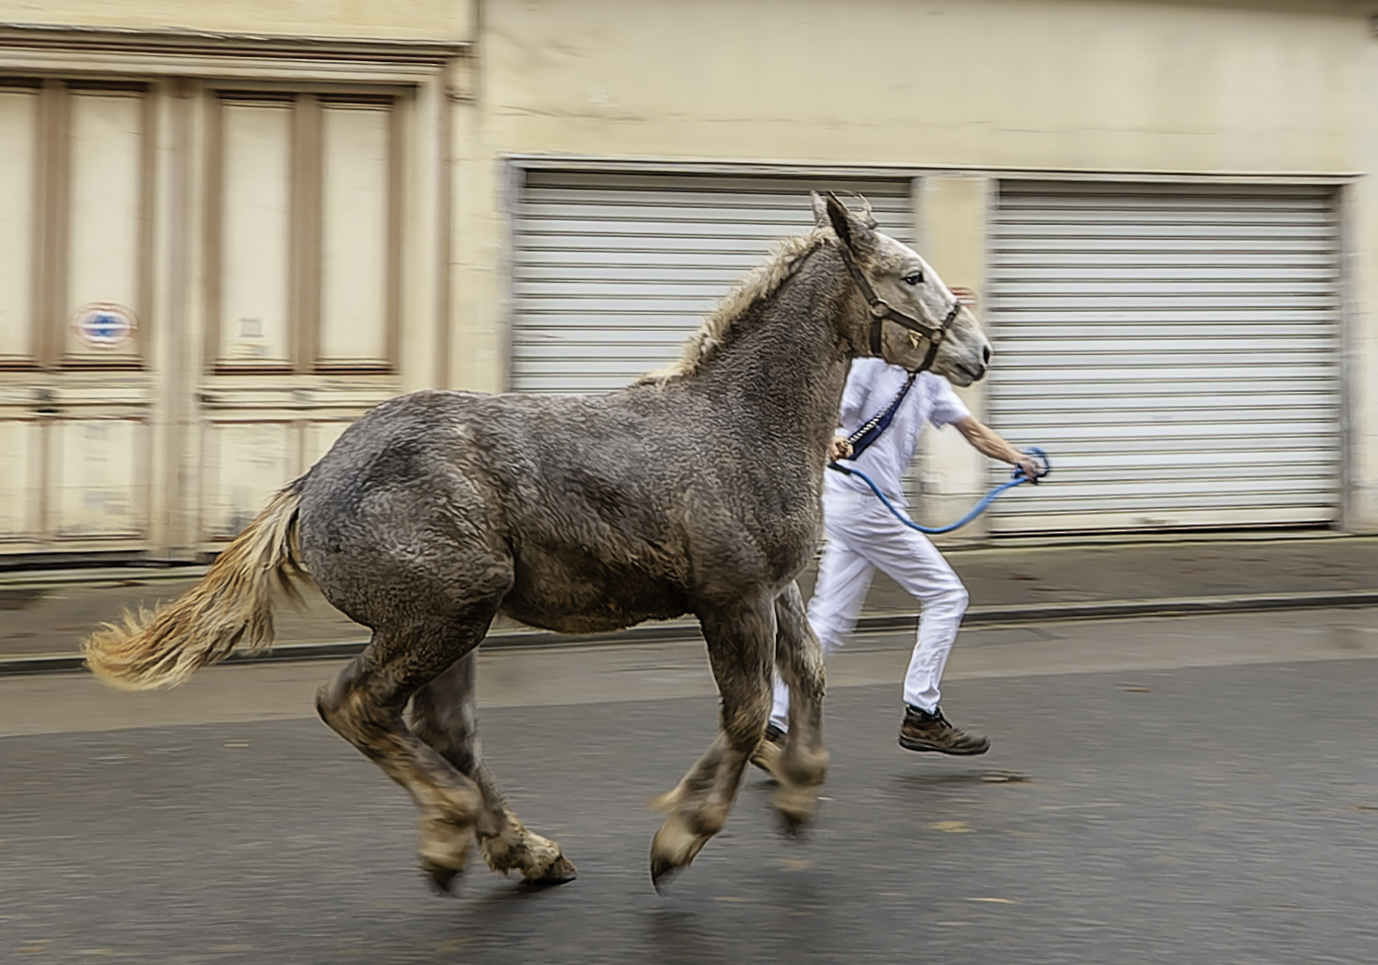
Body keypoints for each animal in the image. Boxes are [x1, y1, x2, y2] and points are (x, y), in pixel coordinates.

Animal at [83, 191, 992, 893]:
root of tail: (311, 482)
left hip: (457, 623)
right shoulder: (730, 595)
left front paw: (799, 785)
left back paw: (523, 849)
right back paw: (452, 826)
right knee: (356, 703)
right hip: (445, 611)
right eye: (911, 274)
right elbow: (741, 713)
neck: (744, 424)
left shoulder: (776, 589)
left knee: (443, 729)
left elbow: (808, 673)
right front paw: (680, 836)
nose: (978, 350)